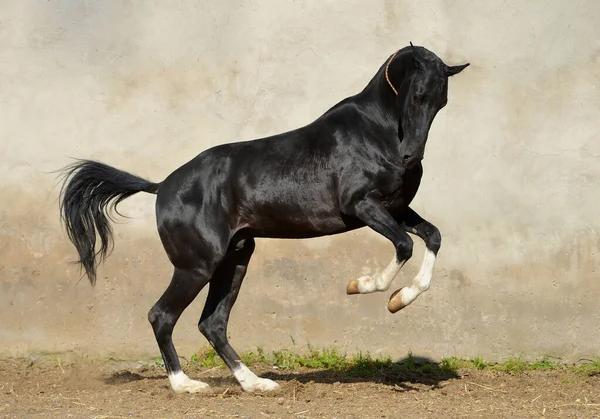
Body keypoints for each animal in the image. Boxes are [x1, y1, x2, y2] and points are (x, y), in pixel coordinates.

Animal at [57, 44, 468, 396]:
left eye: (441, 101)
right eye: (416, 95)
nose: (410, 156)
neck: (375, 132)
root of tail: (162, 187)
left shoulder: (396, 210)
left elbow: (432, 236)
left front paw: (399, 300)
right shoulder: (361, 206)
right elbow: (405, 244)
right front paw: (363, 286)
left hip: (236, 259)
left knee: (212, 323)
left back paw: (255, 383)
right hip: (197, 266)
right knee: (162, 315)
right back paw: (185, 385)